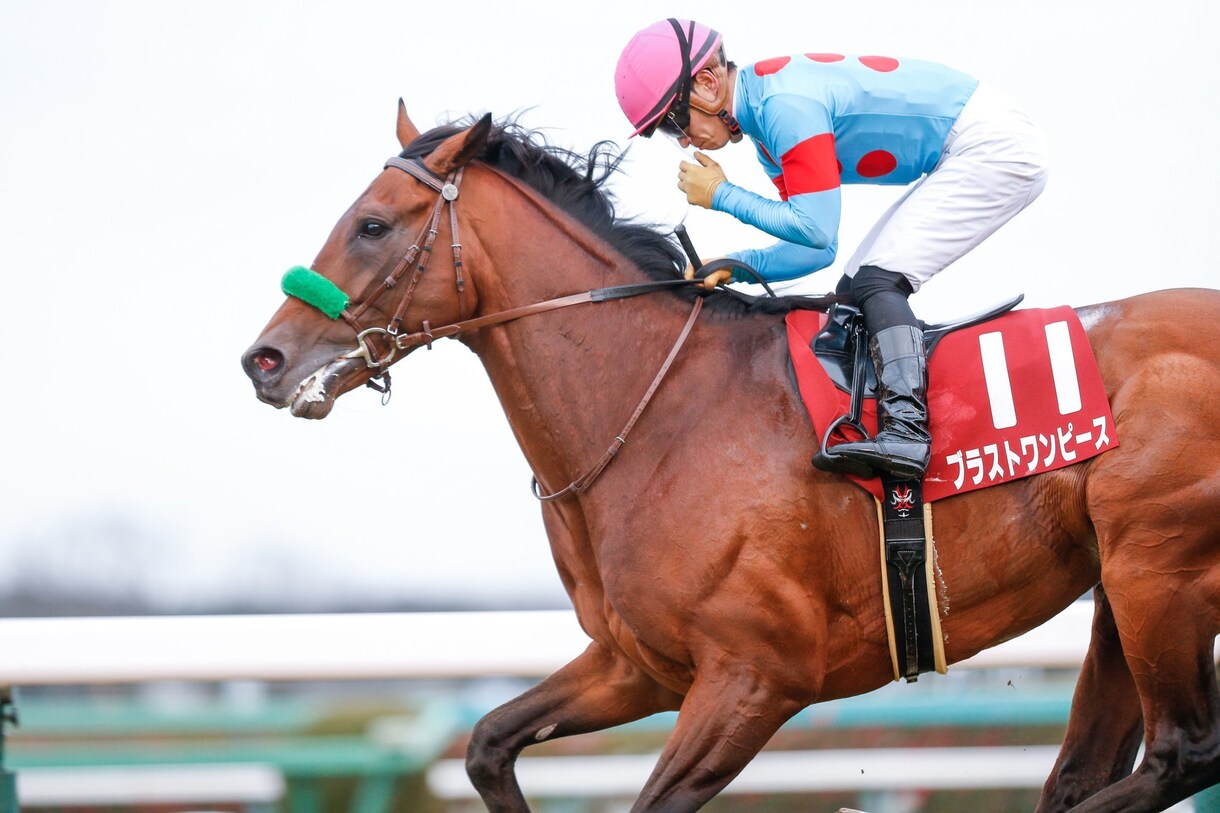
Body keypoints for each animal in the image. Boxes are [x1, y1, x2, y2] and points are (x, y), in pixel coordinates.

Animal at [242, 102, 1220, 812]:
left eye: (371, 225)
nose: (264, 359)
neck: (656, 412)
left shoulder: (757, 677)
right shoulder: (638, 664)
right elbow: (487, 743)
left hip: (1157, 573)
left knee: (1184, 751)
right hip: (1116, 591)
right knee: (1092, 771)